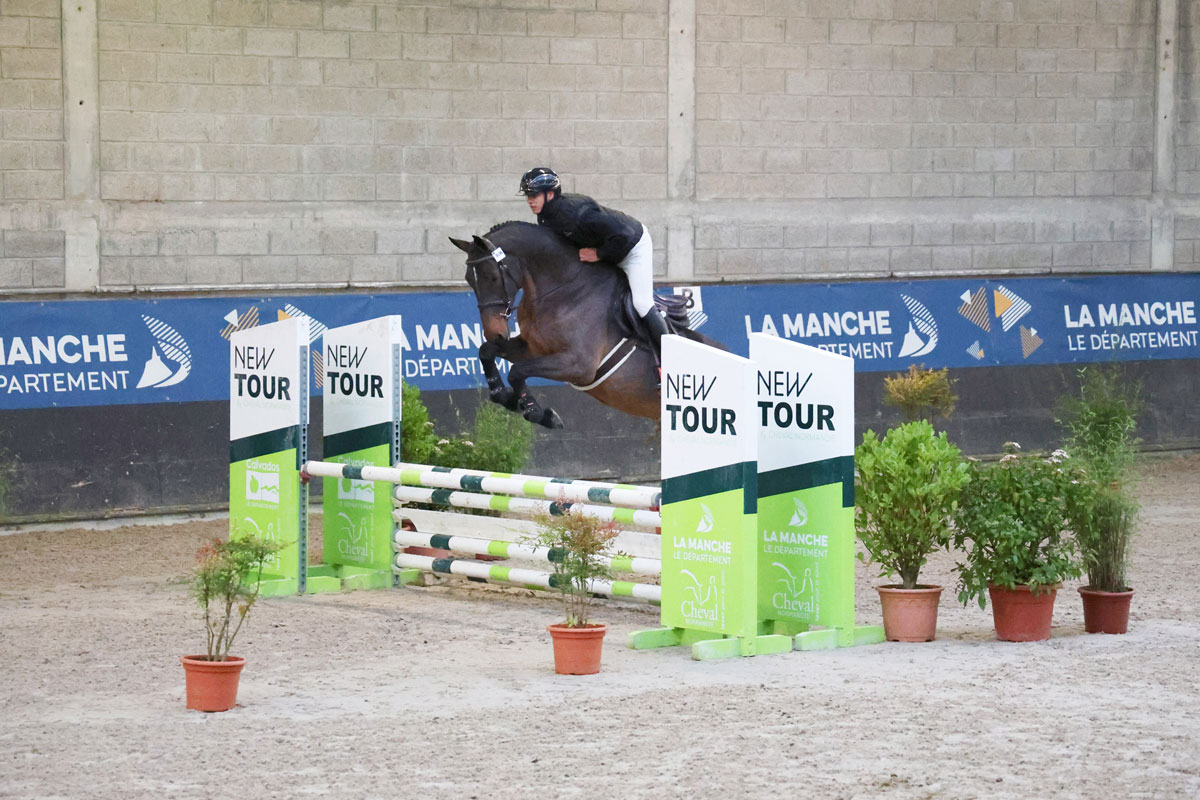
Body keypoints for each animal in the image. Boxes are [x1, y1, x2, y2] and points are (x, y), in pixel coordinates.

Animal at [449, 221, 723, 429]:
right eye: (468, 280)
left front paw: (537, 412)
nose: (494, 332)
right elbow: (487, 352)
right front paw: (503, 396)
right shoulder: (533, 348)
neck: (562, 289)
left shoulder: (579, 365)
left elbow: (517, 371)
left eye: (492, 277)